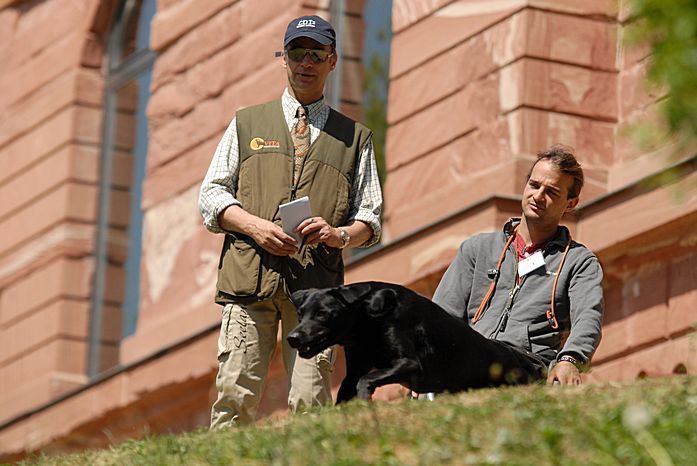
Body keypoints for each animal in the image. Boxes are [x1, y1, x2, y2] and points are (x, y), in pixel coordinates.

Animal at [287, 281, 544, 403]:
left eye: (322, 313)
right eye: (300, 314)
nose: (292, 338)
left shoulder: (409, 364)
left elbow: (366, 379)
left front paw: (364, 398)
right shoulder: (354, 368)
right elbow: (348, 386)